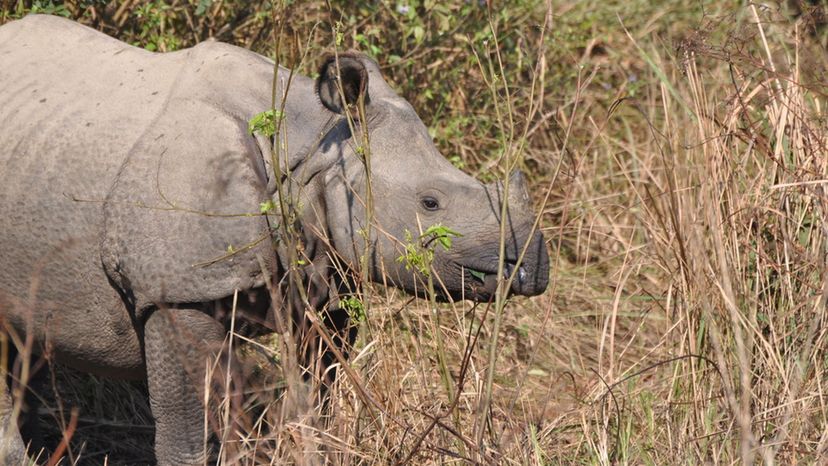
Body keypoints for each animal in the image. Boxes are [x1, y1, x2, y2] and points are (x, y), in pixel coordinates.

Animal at [0, 14, 548, 466]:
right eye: (430, 203)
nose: (531, 268)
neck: (315, 144)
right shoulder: (177, 290)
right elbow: (187, 434)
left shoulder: (329, 276)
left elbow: (314, 402)